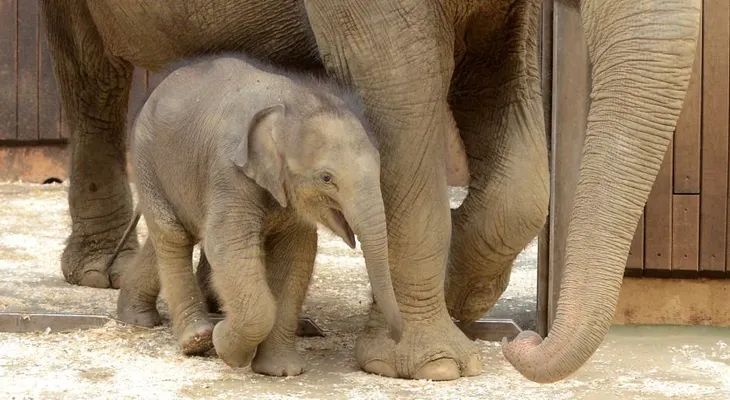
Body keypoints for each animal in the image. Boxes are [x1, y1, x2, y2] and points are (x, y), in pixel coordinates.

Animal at [112, 53, 404, 375]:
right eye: (326, 178)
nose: (397, 336)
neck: (291, 102)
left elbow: (295, 255)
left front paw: (281, 371)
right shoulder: (229, 172)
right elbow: (228, 245)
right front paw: (225, 345)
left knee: (168, 237)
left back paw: (136, 318)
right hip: (146, 159)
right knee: (173, 236)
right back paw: (196, 339)